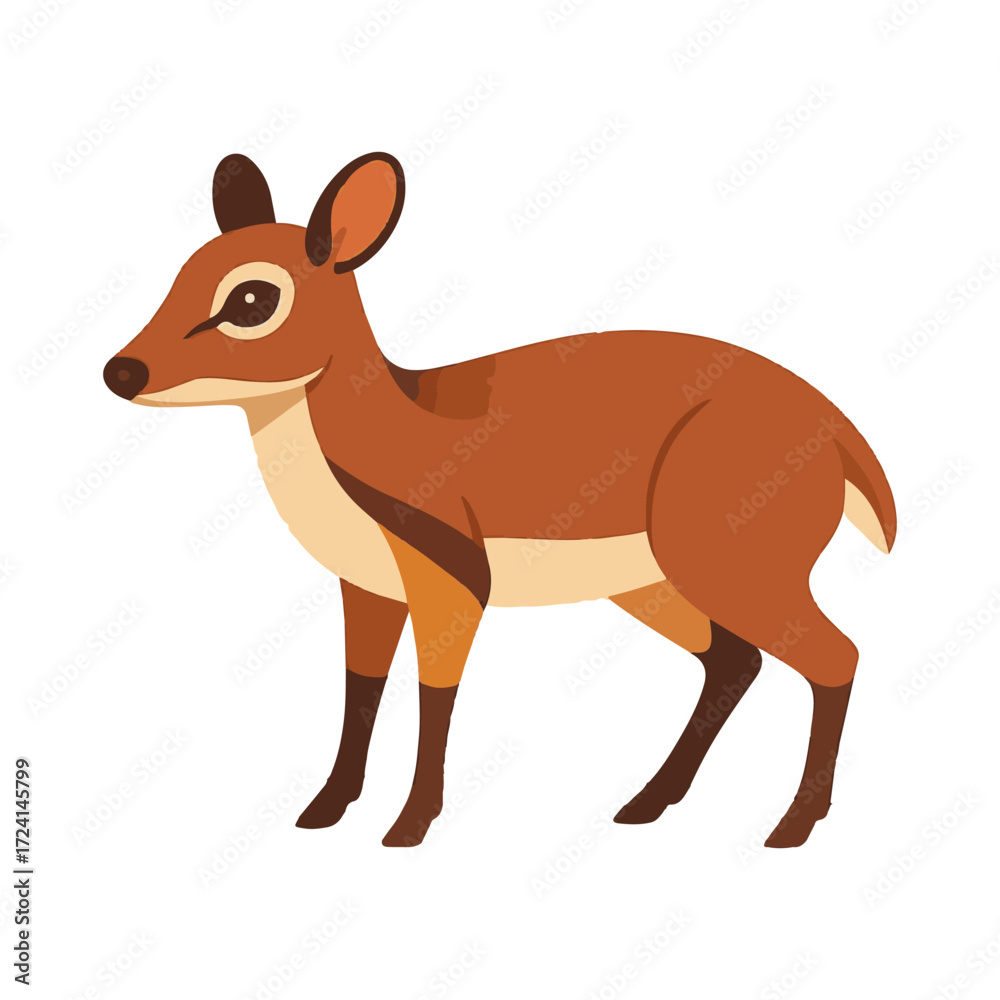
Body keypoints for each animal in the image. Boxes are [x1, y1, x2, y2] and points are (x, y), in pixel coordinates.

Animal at [103, 151, 895, 849]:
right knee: (736, 662)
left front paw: (409, 825)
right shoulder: (369, 587)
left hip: (726, 565)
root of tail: (837, 430)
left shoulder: (454, 583)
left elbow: (435, 694)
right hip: (654, 582)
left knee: (836, 656)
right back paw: (646, 805)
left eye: (252, 298)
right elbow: (360, 688)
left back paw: (792, 826)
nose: (121, 371)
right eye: (182, 274)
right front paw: (325, 809)